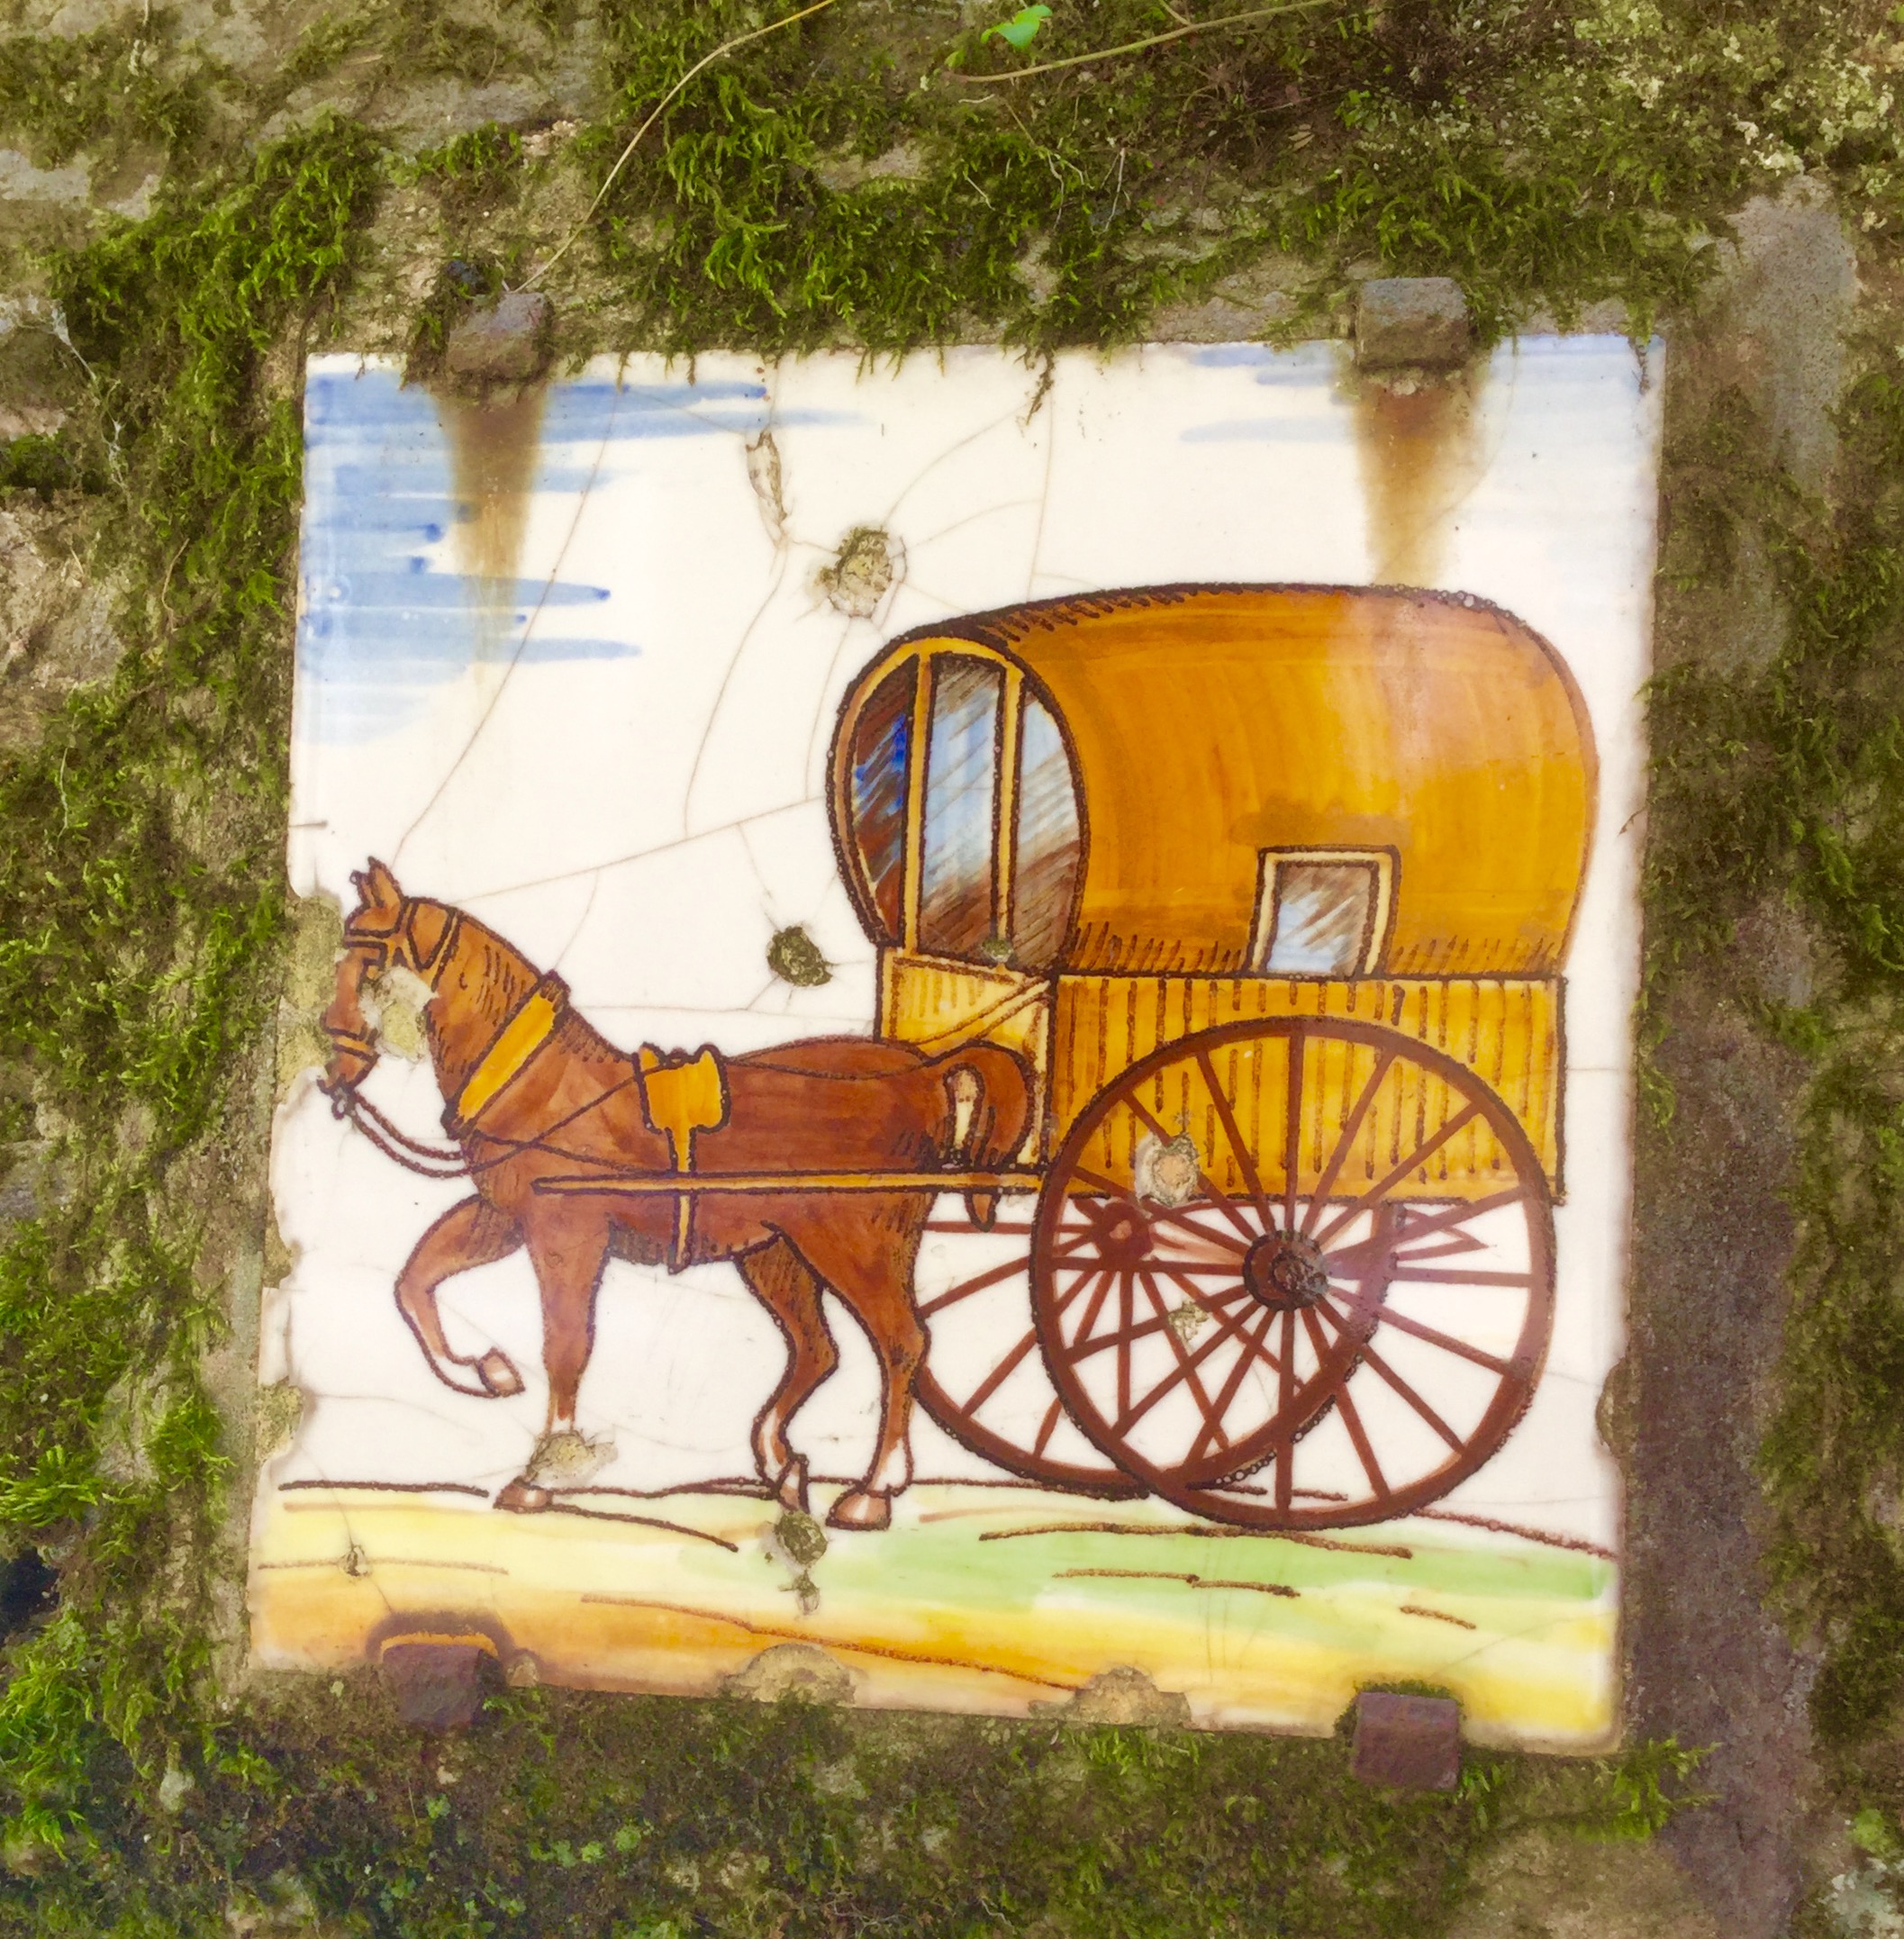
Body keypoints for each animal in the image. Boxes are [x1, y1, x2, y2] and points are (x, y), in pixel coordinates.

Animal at [318, 861, 1031, 1530]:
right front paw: (485, 1369)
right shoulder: (502, 1218)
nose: (331, 1068)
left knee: (903, 1343)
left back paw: (872, 1490)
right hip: (776, 1253)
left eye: (371, 961)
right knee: (817, 1349)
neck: (545, 1086)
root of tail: (925, 1070)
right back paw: (781, 1463)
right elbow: (416, 1282)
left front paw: (543, 1472)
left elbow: (565, 1346)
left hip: (857, 1246)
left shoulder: (566, 1236)